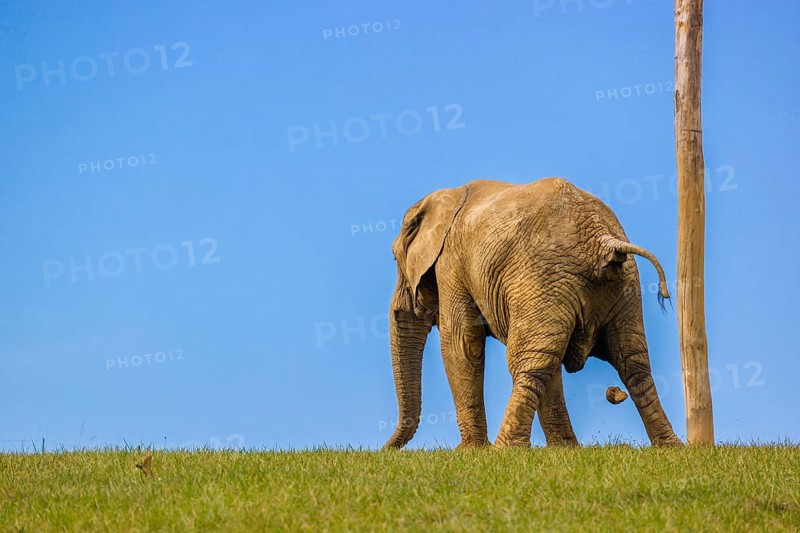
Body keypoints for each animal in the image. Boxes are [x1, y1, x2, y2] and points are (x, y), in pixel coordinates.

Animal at [383, 178, 682, 449]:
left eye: (395, 258)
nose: (386, 450)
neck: (447, 196)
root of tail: (603, 241)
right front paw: (563, 450)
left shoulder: (451, 264)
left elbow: (462, 344)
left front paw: (470, 451)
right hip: (621, 286)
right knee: (631, 362)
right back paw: (669, 447)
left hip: (545, 280)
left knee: (529, 361)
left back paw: (504, 450)